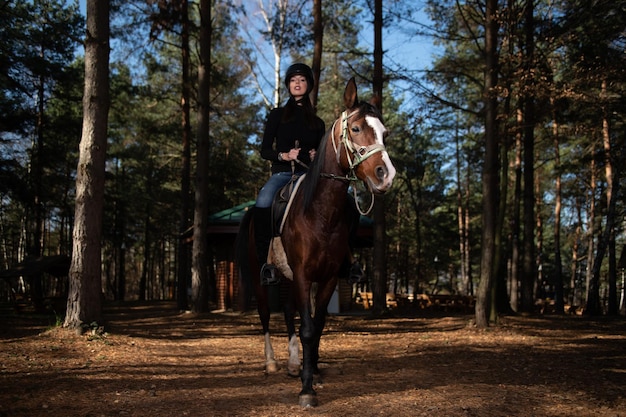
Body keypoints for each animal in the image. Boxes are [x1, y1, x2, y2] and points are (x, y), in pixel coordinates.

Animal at [234, 76, 394, 404]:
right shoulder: (304, 275)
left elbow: (316, 326)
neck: (320, 213)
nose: (386, 175)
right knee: (266, 314)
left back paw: (294, 364)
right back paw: (272, 362)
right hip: (261, 276)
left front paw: (313, 372)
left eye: (384, 132)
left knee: (288, 312)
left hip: (288, 276)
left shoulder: (328, 277)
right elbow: (307, 328)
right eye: (355, 128)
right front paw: (307, 389)